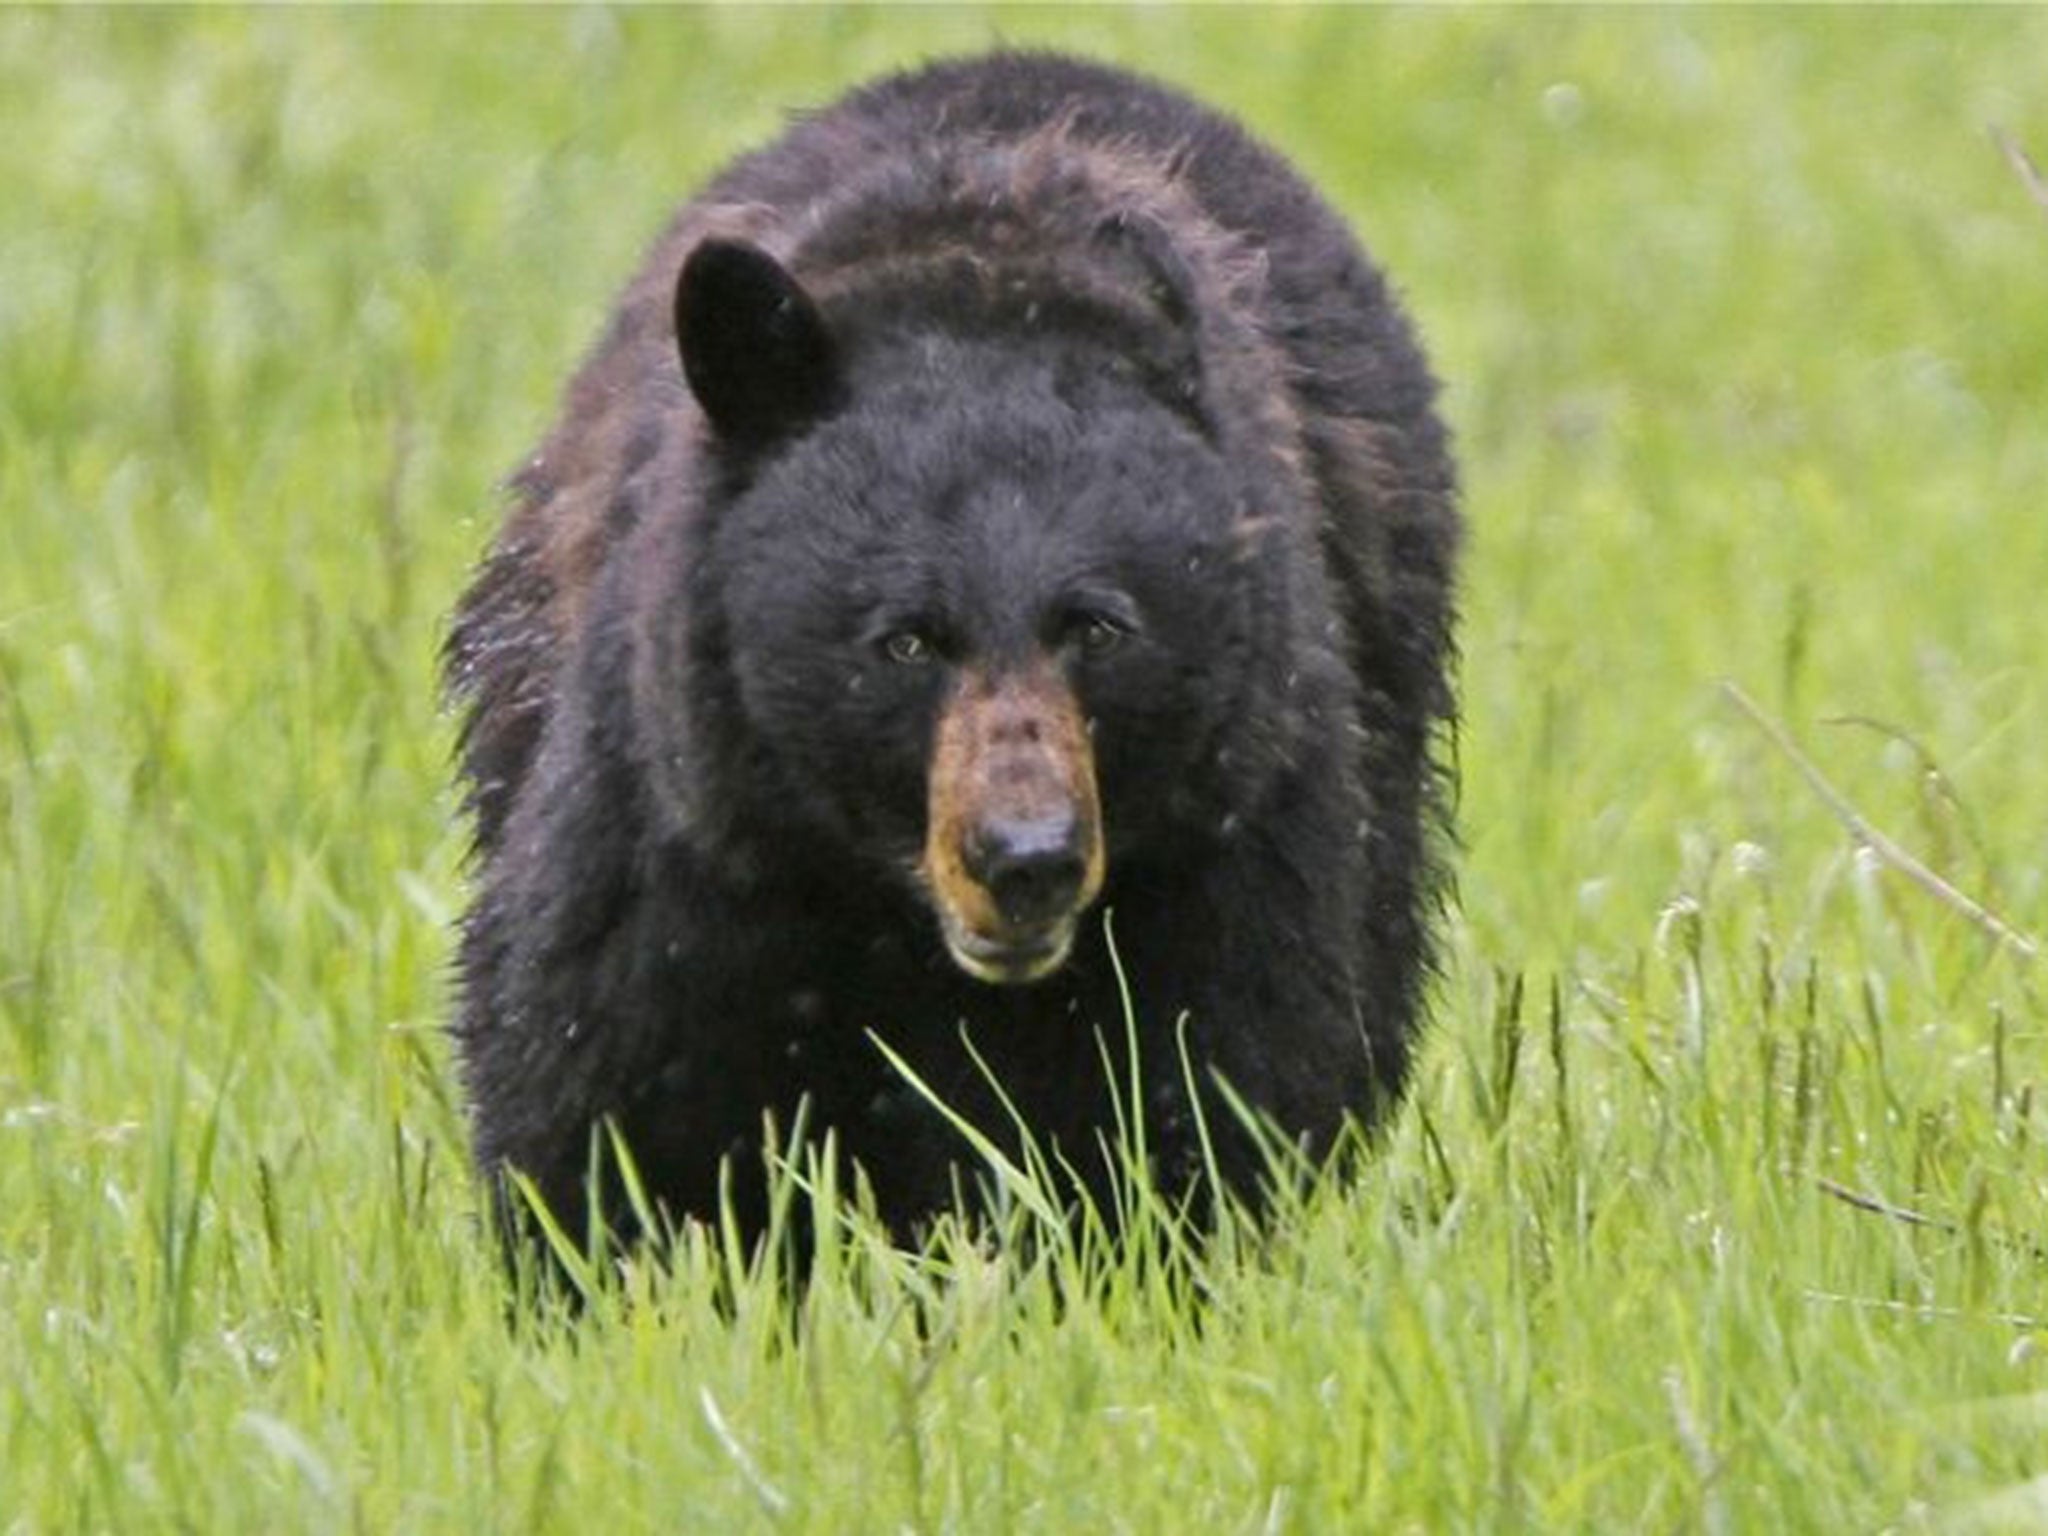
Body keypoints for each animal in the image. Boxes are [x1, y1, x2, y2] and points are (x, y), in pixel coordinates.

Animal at [446, 51, 1458, 1261]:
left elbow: (1209, 1087)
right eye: (905, 640)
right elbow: (610, 1084)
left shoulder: (1233, 815)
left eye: (1098, 627)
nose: (1025, 858)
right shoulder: (692, 813)